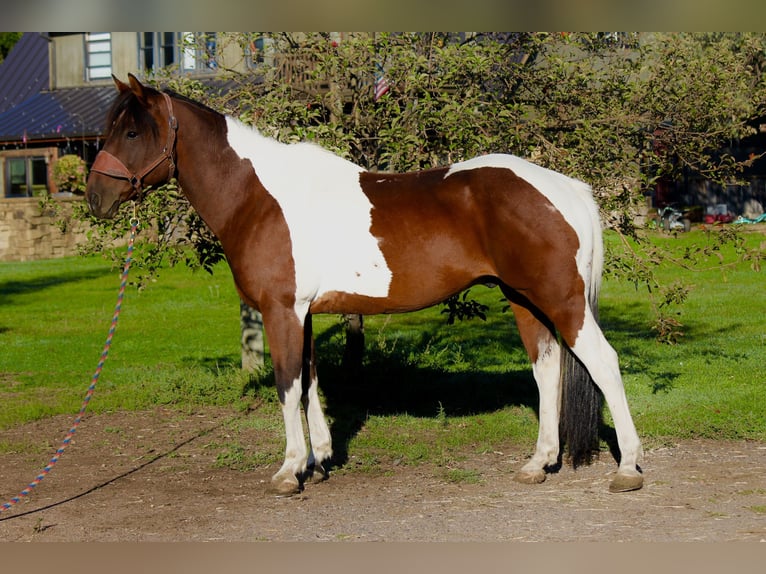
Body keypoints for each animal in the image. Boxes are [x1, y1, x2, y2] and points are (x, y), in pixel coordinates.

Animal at [85, 74, 644, 495]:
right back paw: (538, 463)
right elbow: (310, 379)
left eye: (131, 133)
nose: (94, 197)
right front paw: (319, 460)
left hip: (561, 300)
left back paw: (627, 468)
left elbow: (287, 383)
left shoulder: (281, 309)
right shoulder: (304, 313)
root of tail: (566, 188)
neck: (259, 197)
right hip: (524, 299)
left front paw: (289, 470)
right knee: (547, 368)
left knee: (603, 363)